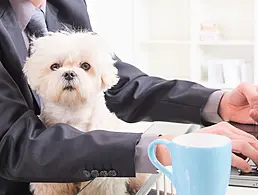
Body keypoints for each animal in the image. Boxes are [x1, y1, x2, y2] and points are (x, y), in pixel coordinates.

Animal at [22, 31, 146, 194]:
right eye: (55, 66)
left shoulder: (103, 183)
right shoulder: (50, 181)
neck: (72, 114)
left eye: (85, 65)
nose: (69, 73)